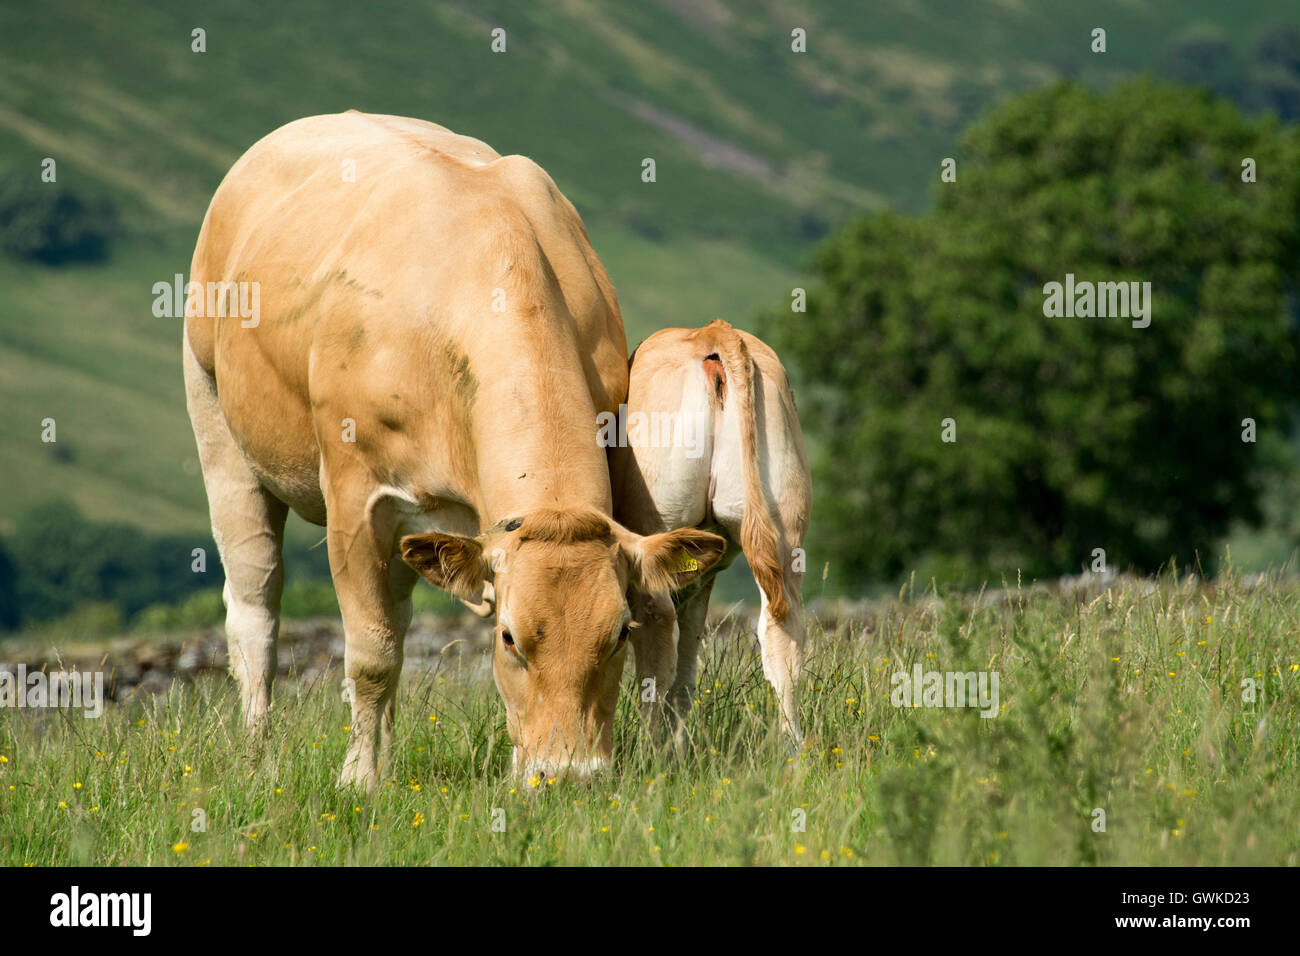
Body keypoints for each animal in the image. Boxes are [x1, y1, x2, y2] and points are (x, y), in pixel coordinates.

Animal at [184, 111, 728, 790]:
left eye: (619, 635)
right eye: (509, 638)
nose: (566, 775)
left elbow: (390, 641)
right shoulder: (357, 499)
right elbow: (370, 654)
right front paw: (358, 781)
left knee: (392, 614)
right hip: (217, 426)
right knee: (255, 607)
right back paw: (259, 754)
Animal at [611, 321, 811, 749]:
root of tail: (713, 334)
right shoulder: (700, 573)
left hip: (652, 526)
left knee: (655, 629)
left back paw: (648, 751)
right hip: (786, 529)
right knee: (783, 630)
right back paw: (792, 750)